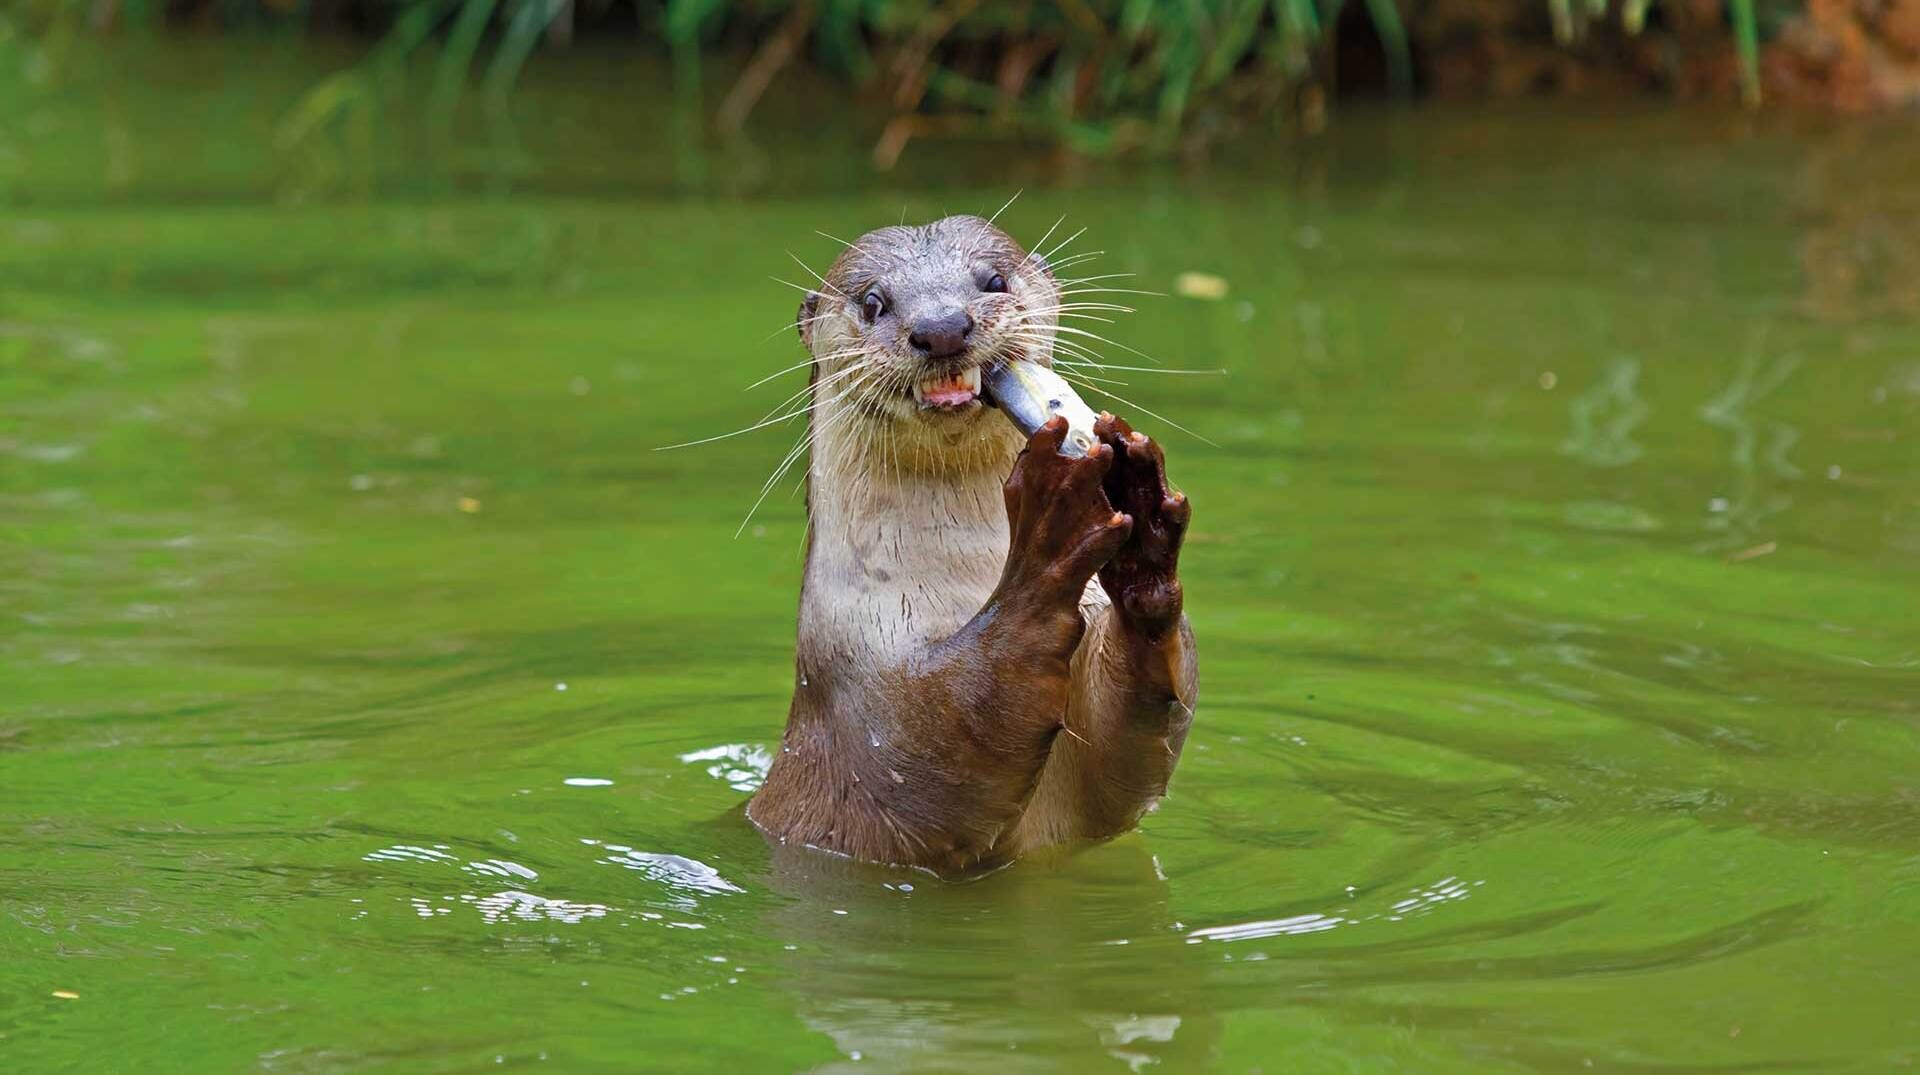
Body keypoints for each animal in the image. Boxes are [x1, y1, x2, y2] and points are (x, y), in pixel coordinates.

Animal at [741, 212, 1190, 875]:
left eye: (993, 280)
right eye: (873, 301)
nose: (942, 327)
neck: (960, 588)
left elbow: (1133, 751)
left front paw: (1143, 525)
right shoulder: (867, 691)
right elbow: (948, 735)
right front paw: (1050, 515)